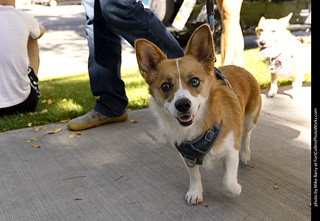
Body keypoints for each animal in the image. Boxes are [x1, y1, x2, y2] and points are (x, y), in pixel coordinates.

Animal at [134, 24, 262, 205]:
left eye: (194, 81)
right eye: (166, 86)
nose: (182, 104)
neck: (198, 128)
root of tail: (239, 68)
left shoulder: (231, 151)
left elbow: (228, 182)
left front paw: (235, 188)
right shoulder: (188, 158)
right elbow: (194, 176)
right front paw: (195, 192)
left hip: (251, 118)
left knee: (246, 135)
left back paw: (245, 153)